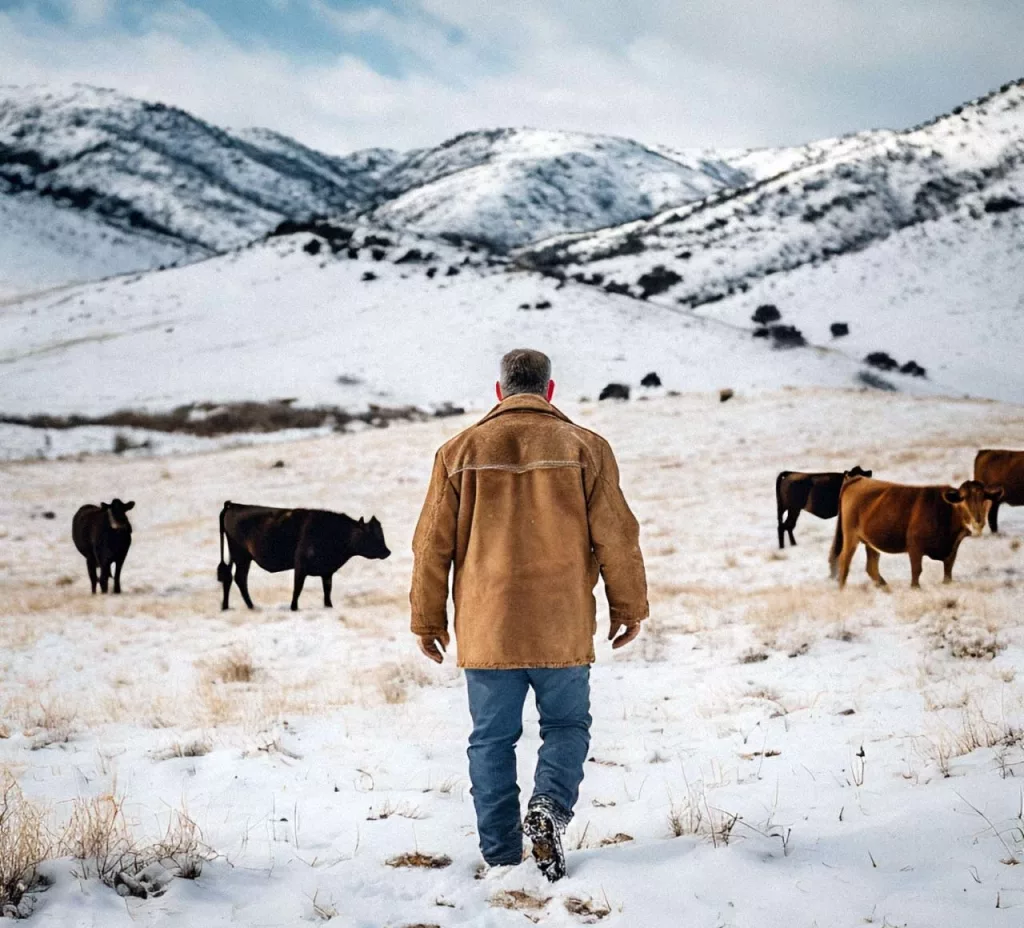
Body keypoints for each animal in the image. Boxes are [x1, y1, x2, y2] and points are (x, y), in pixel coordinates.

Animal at [218, 499, 389, 606]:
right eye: (371, 534)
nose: (387, 552)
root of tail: (233, 506)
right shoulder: (300, 567)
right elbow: (297, 590)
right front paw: (293, 608)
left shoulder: (327, 572)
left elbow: (327, 592)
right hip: (242, 557)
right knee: (239, 579)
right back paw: (251, 606)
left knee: (230, 578)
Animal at [831, 473, 999, 589]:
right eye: (963, 499)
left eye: (985, 499)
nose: (978, 522)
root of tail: (858, 479)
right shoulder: (915, 547)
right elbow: (916, 571)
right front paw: (915, 588)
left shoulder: (952, 550)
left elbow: (948, 572)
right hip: (851, 536)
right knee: (844, 561)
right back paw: (842, 590)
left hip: (871, 540)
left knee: (871, 567)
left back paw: (885, 588)